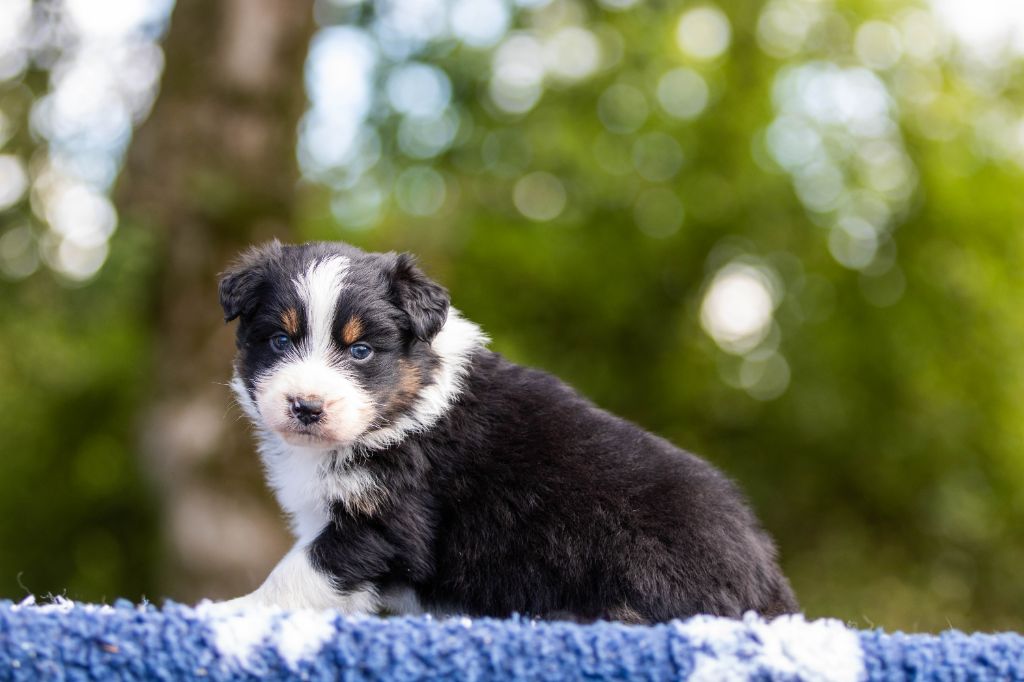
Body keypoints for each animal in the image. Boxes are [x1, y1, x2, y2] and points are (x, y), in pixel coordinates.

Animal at [217, 240, 798, 622]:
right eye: (279, 340)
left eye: (360, 350)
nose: (306, 406)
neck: (407, 407)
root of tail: (768, 576)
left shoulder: (386, 521)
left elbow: (298, 573)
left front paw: (235, 610)